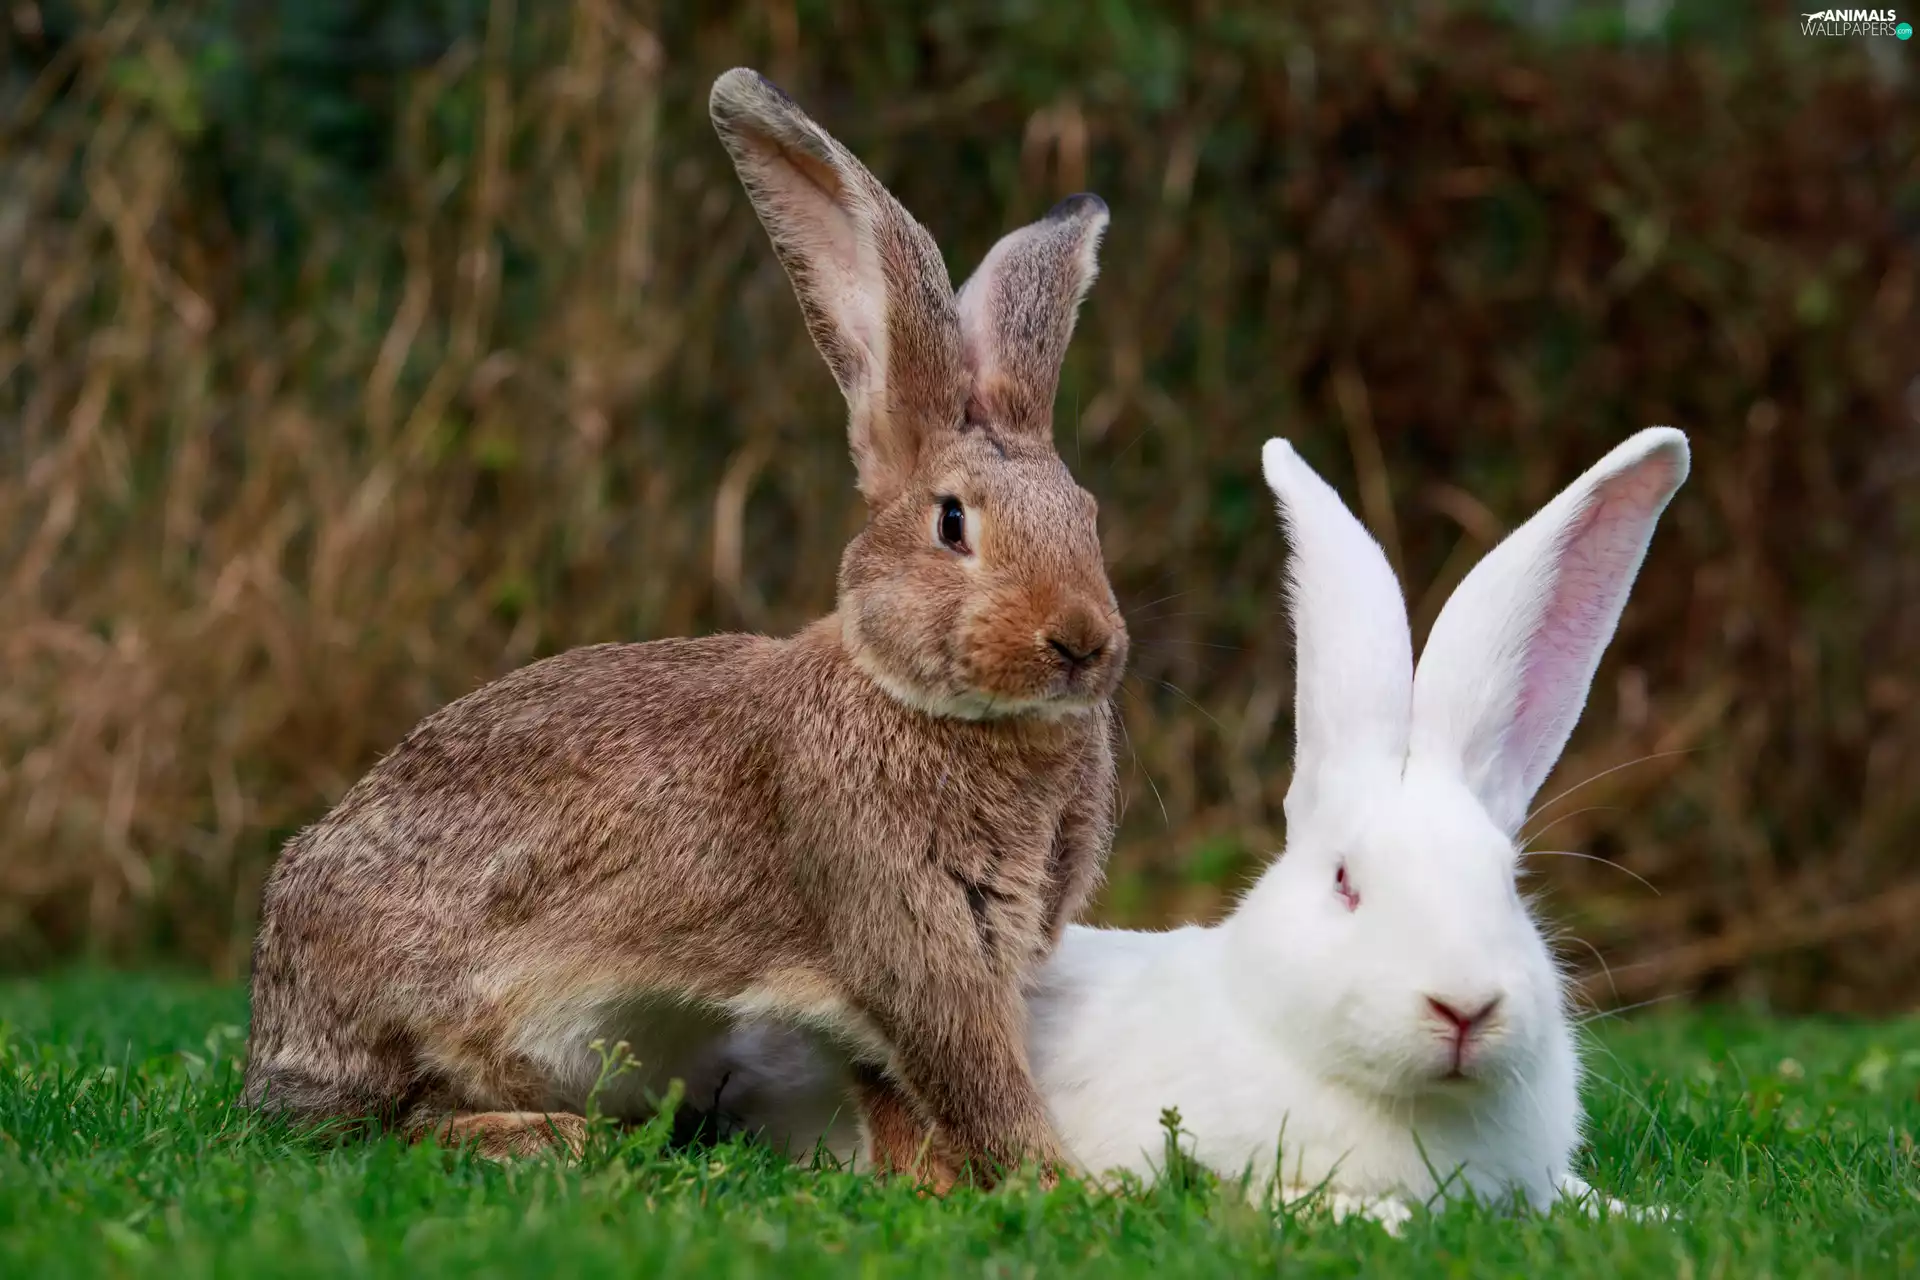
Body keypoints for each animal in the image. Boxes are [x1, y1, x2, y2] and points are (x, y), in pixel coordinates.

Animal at [240, 67, 1128, 1186]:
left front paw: (931, 1185)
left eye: (1089, 515)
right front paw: (1069, 1187)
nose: (1082, 641)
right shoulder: (909, 930)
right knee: (385, 1125)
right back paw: (555, 1139)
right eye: (953, 523)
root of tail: (275, 1029)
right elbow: (977, 1075)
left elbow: (904, 1095)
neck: (923, 698)